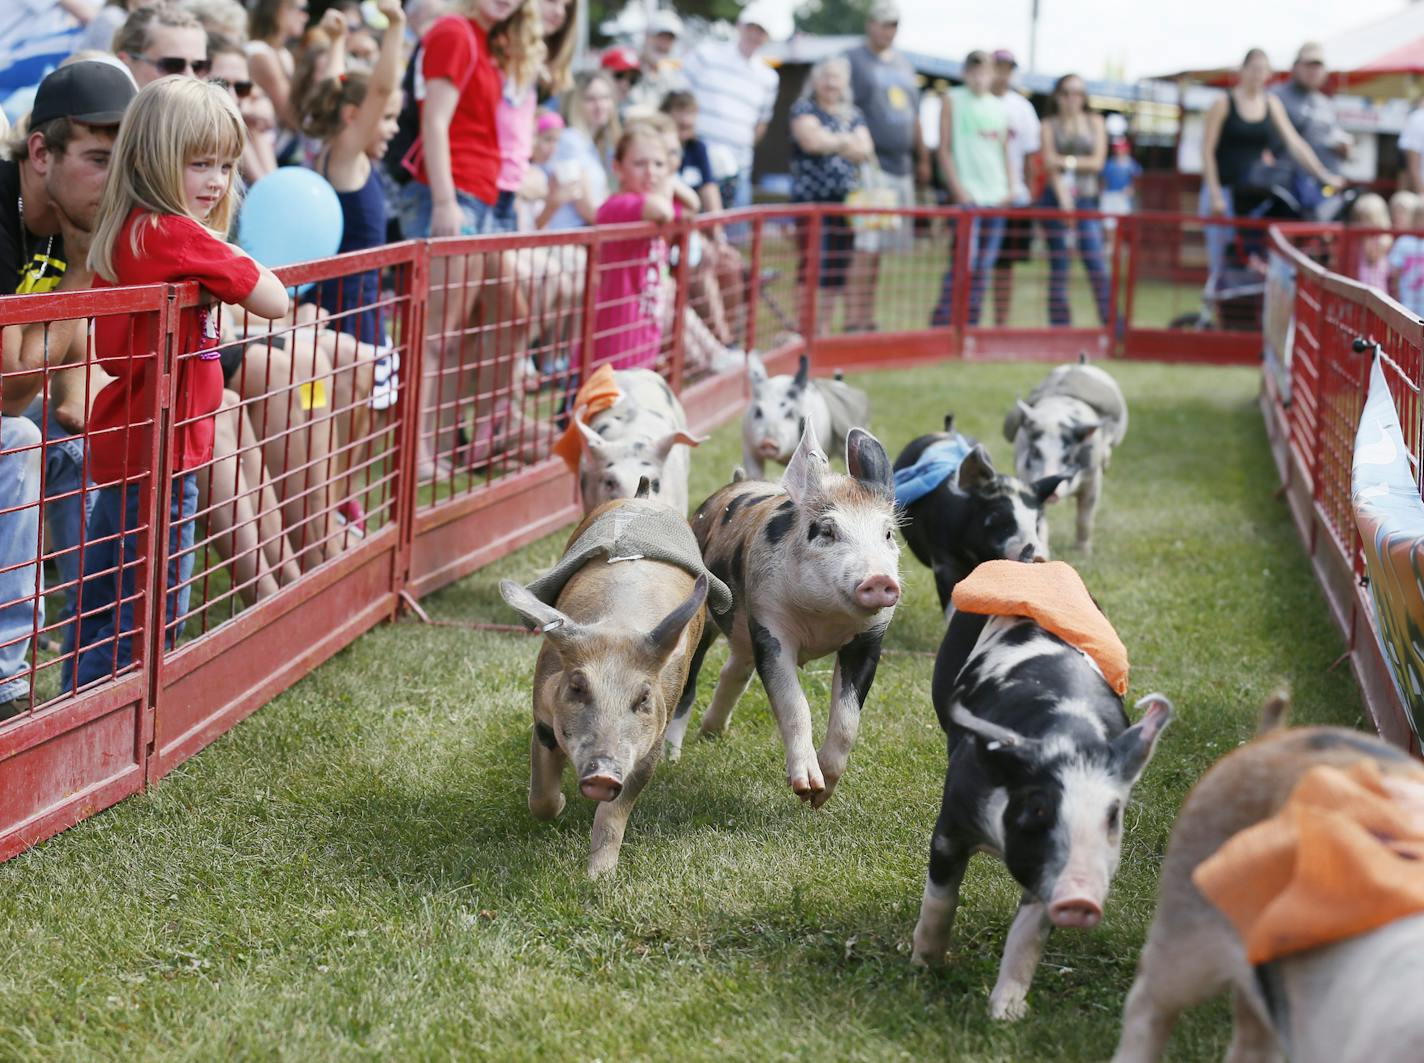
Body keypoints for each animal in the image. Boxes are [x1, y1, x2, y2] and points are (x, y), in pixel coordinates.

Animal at [677, 421, 899, 803]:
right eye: (827, 531)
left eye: (887, 533)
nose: (880, 579)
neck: (823, 620)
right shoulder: (770, 624)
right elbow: (794, 704)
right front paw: (806, 787)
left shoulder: (869, 639)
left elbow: (848, 719)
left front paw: (819, 797)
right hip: (702, 612)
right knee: (690, 678)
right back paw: (672, 757)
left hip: (743, 634)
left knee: (733, 670)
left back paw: (712, 734)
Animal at [917, 601, 1173, 1014]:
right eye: (1038, 809)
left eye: (1112, 816)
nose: (1081, 899)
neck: (1068, 737)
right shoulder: (951, 823)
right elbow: (941, 897)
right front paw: (924, 968)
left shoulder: (1045, 872)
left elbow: (1028, 934)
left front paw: (1006, 1014)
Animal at [996, 360, 1127, 550]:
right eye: (1035, 451)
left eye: (1069, 456)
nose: (1053, 493)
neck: (1054, 419)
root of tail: (1082, 361)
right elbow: (1039, 521)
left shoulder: (1093, 478)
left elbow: (1085, 518)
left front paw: (1083, 552)